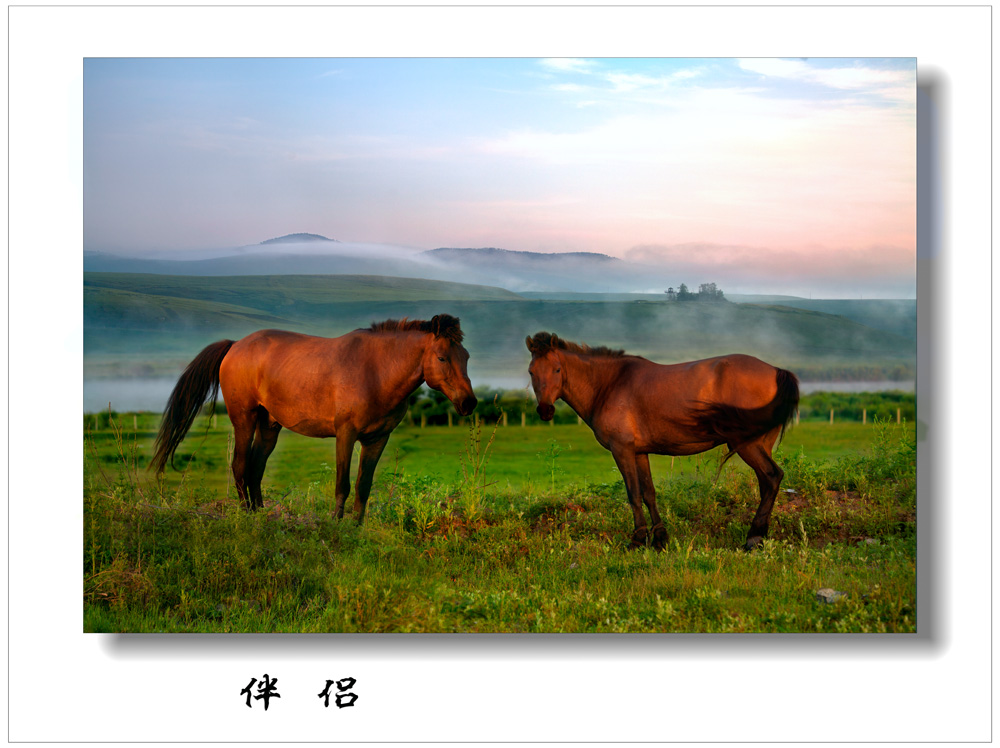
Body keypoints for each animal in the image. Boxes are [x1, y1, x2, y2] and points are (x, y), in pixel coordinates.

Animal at [150, 316, 478, 520]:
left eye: (466, 357)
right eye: (442, 358)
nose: (469, 403)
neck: (376, 371)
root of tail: (235, 346)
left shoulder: (377, 439)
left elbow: (364, 485)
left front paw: (357, 527)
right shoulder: (345, 434)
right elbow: (343, 483)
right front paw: (336, 523)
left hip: (269, 426)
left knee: (256, 468)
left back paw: (260, 514)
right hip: (244, 418)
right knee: (241, 466)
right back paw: (246, 514)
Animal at [524, 334, 796, 548]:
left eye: (557, 369)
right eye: (531, 372)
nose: (545, 411)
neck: (609, 384)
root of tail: (776, 371)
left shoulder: (622, 450)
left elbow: (633, 493)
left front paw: (637, 539)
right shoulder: (639, 452)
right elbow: (649, 493)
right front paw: (660, 538)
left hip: (748, 445)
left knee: (772, 477)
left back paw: (753, 538)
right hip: (759, 445)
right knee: (766, 482)